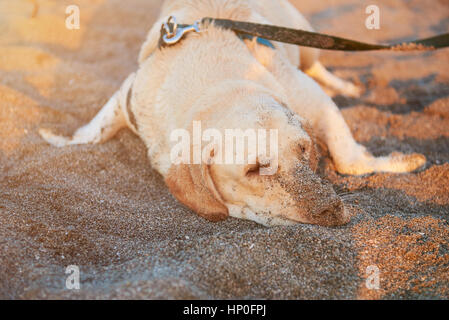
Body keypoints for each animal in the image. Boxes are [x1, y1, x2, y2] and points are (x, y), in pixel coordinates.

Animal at [38, 0, 424, 226]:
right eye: (254, 169)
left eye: (304, 150)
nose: (330, 210)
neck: (219, 85)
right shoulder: (130, 94)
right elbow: (94, 130)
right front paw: (59, 139)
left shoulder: (309, 98)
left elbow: (348, 156)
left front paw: (396, 162)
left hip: (304, 36)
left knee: (319, 67)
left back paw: (346, 87)